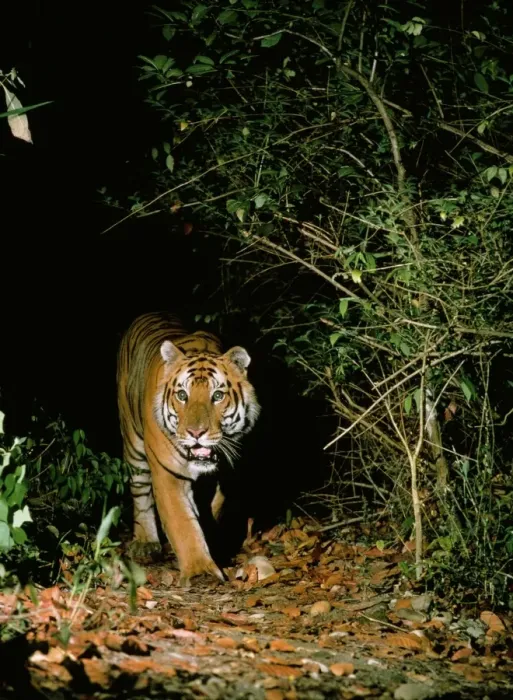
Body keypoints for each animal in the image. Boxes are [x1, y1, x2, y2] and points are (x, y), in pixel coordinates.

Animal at [116, 311, 260, 585]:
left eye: (217, 396)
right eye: (182, 395)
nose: (196, 433)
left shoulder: (226, 473)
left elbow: (213, 510)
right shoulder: (168, 472)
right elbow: (182, 522)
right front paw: (200, 570)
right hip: (133, 445)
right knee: (140, 492)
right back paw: (146, 543)